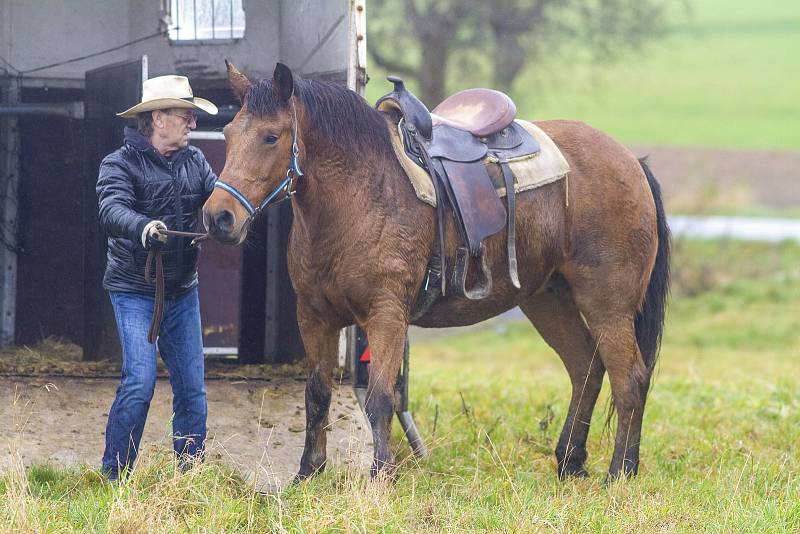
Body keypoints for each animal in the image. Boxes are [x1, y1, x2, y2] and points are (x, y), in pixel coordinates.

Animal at [205, 61, 668, 482]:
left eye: (271, 136)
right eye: (228, 135)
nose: (219, 217)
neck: (360, 193)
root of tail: (630, 161)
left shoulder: (386, 316)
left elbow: (380, 399)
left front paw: (381, 477)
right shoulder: (315, 316)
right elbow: (317, 394)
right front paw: (308, 473)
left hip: (608, 304)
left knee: (630, 378)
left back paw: (621, 472)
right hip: (549, 300)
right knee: (585, 368)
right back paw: (570, 462)